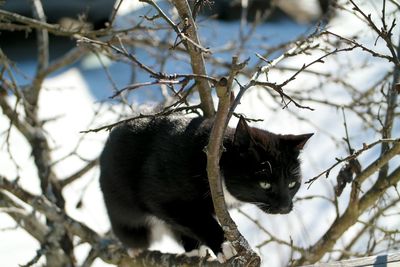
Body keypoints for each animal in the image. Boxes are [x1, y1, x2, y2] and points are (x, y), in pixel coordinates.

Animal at [99, 116, 312, 262]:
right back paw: (134, 248)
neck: (212, 163)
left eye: (292, 184)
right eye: (265, 184)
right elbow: (198, 219)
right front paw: (225, 245)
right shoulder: (158, 194)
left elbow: (189, 220)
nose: (285, 206)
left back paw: (192, 249)